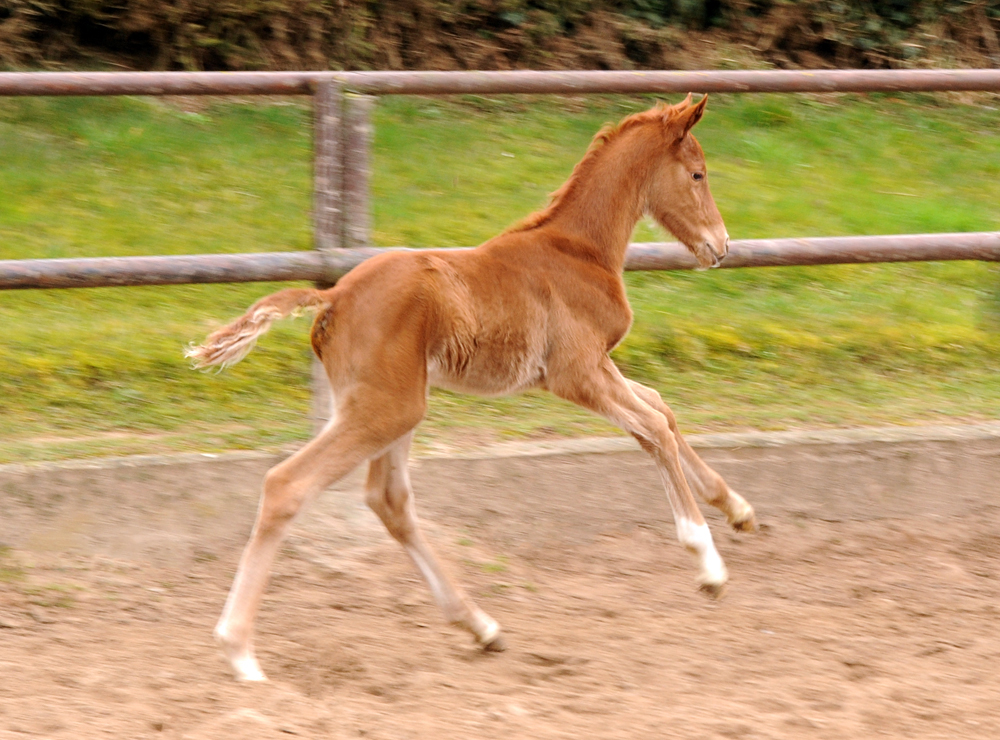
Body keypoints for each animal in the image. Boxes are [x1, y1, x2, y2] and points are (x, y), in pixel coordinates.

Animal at [188, 94, 752, 684]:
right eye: (698, 173)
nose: (720, 246)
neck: (579, 250)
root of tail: (333, 297)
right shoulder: (576, 373)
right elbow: (652, 428)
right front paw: (708, 563)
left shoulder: (594, 366)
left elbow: (660, 411)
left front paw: (737, 509)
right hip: (385, 409)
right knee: (288, 485)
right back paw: (240, 652)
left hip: (390, 407)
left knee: (388, 500)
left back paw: (481, 626)